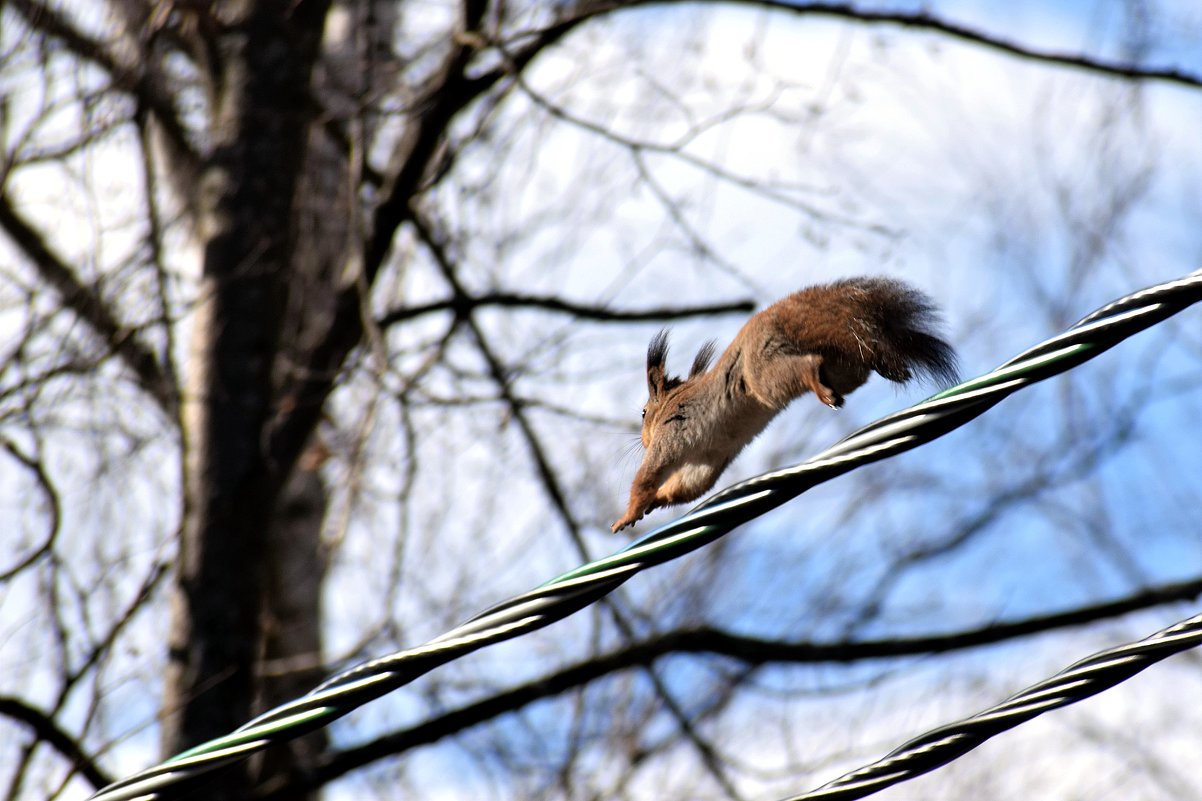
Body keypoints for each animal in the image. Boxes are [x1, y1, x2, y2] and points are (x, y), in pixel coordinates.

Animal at [610, 274, 956, 529]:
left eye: (644, 413)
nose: (642, 440)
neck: (670, 405)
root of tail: (775, 316)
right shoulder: (708, 458)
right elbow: (688, 487)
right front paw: (657, 501)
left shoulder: (672, 436)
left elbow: (647, 476)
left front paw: (628, 515)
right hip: (844, 368)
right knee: (857, 360)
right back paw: (886, 368)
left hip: (763, 375)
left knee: (805, 366)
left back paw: (821, 386)